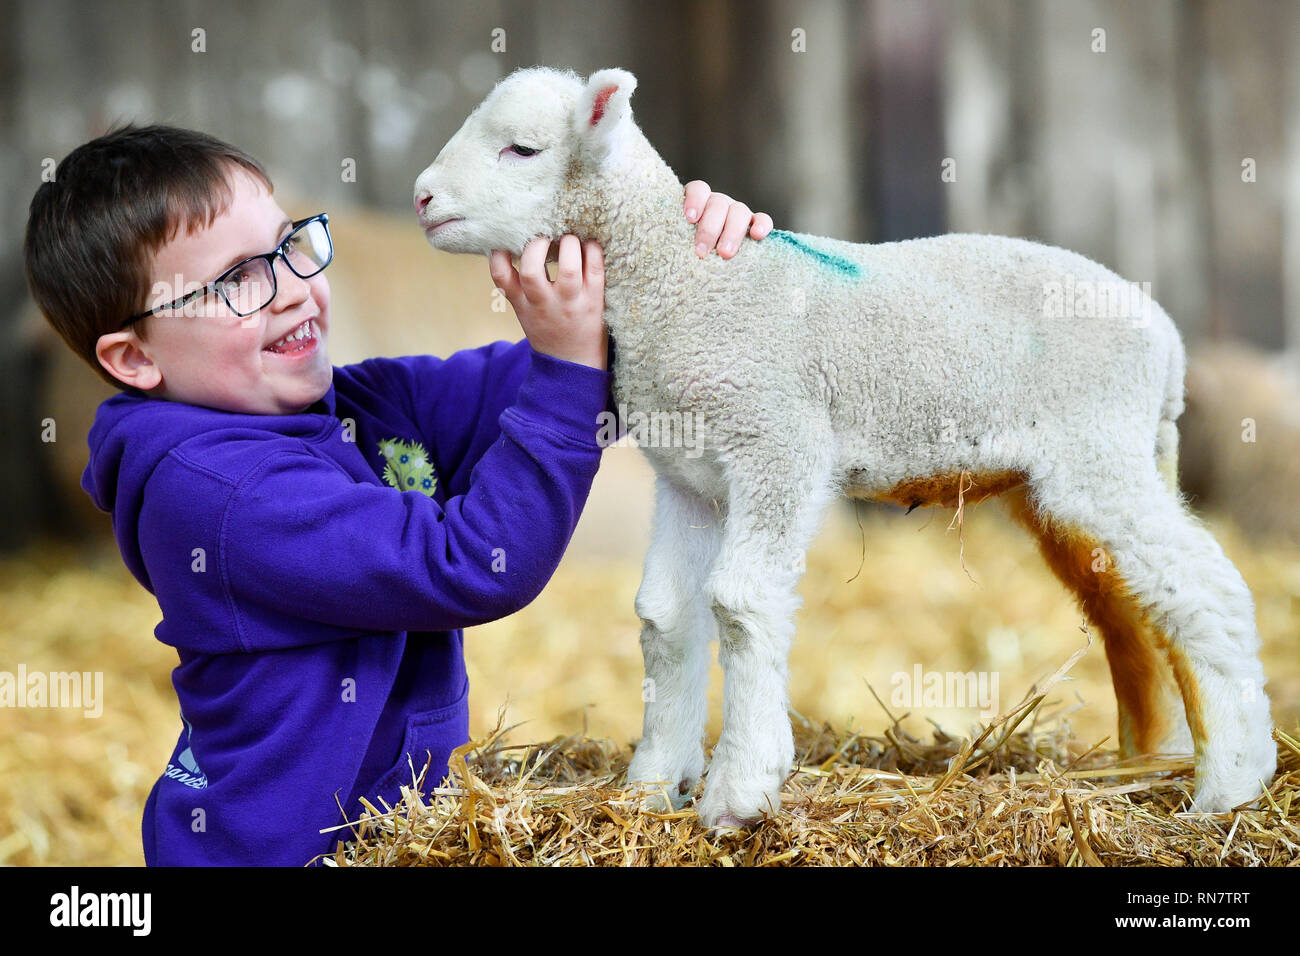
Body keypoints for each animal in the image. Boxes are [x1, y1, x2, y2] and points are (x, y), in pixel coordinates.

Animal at [416, 69, 1279, 832]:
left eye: (522, 149)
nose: (422, 197)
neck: (680, 281)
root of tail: (1166, 340)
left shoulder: (775, 441)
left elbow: (739, 602)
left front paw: (739, 793)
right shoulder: (690, 476)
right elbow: (665, 615)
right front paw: (652, 786)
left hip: (1097, 450)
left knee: (1207, 589)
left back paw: (1229, 785)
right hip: (1079, 474)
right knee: (1136, 611)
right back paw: (1158, 763)